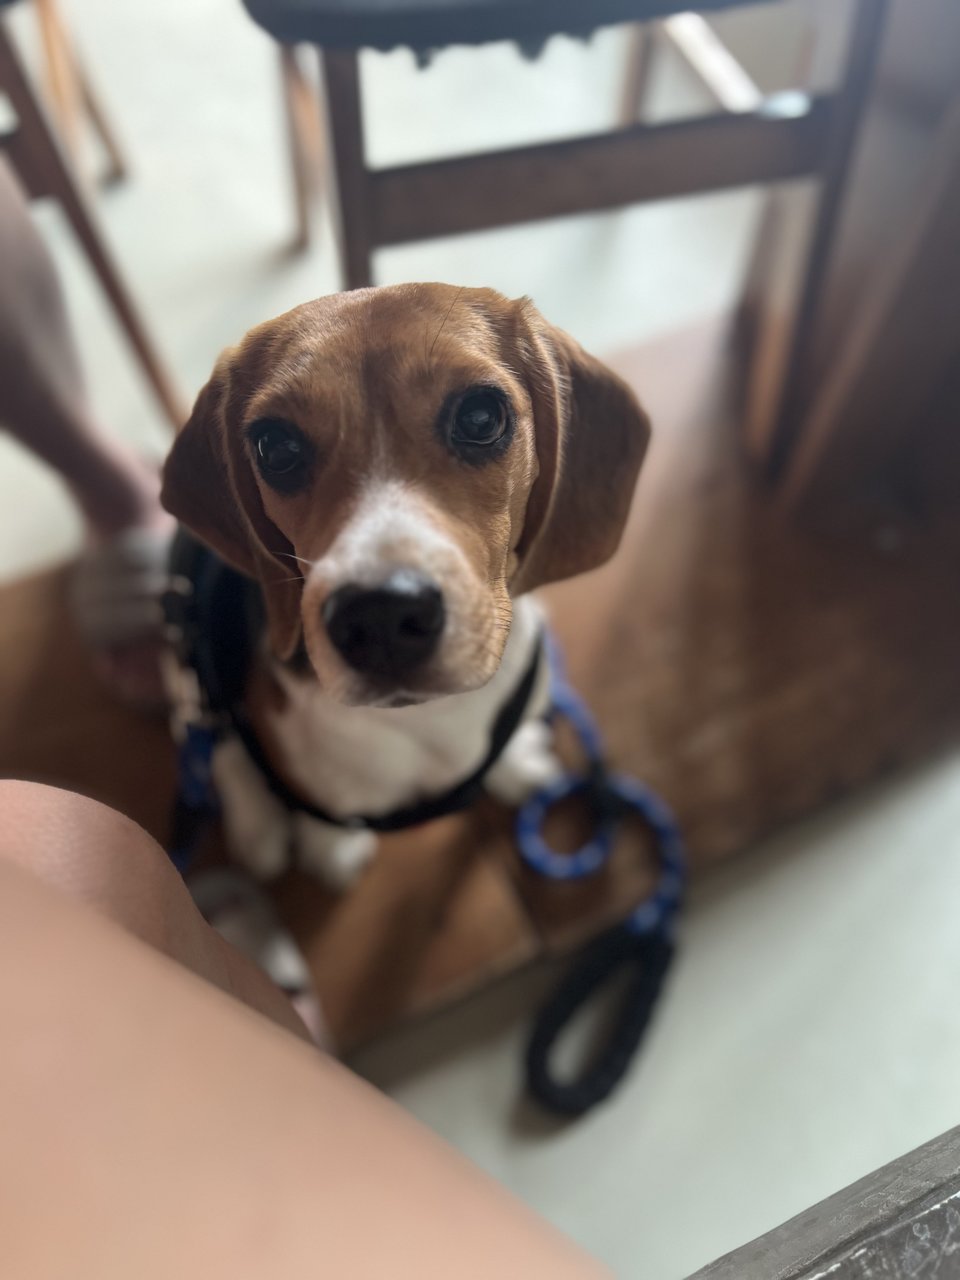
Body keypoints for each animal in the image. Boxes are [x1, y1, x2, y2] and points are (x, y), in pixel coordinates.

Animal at [161, 284, 650, 885]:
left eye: (481, 417)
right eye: (274, 447)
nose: (379, 618)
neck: (431, 715)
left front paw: (515, 767)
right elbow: (315, 800)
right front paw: (329, 843)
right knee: (219, 747)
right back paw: (258, 829)